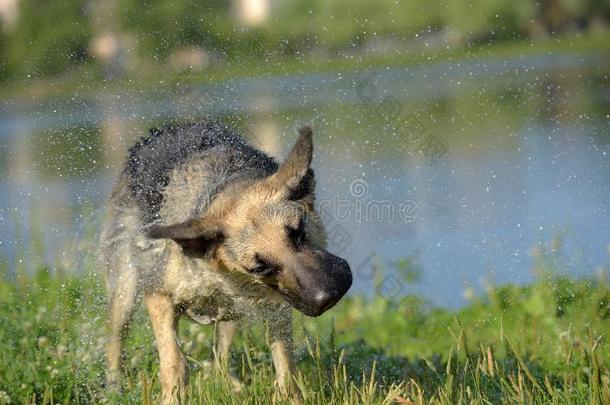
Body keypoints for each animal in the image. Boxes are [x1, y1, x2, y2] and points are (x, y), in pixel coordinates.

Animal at [100, 120, 352, 400]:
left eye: (297, 232)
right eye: (260, 266)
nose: (328, 296)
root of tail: (159, 131)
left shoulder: (274, 307)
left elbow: (284, 363)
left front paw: (289, 396)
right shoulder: (159, 295)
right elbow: (174, 361)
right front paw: (172, 396)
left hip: (230, 314)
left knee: (221, 356)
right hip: (126, 288)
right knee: (116, 340)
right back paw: (113, 387)